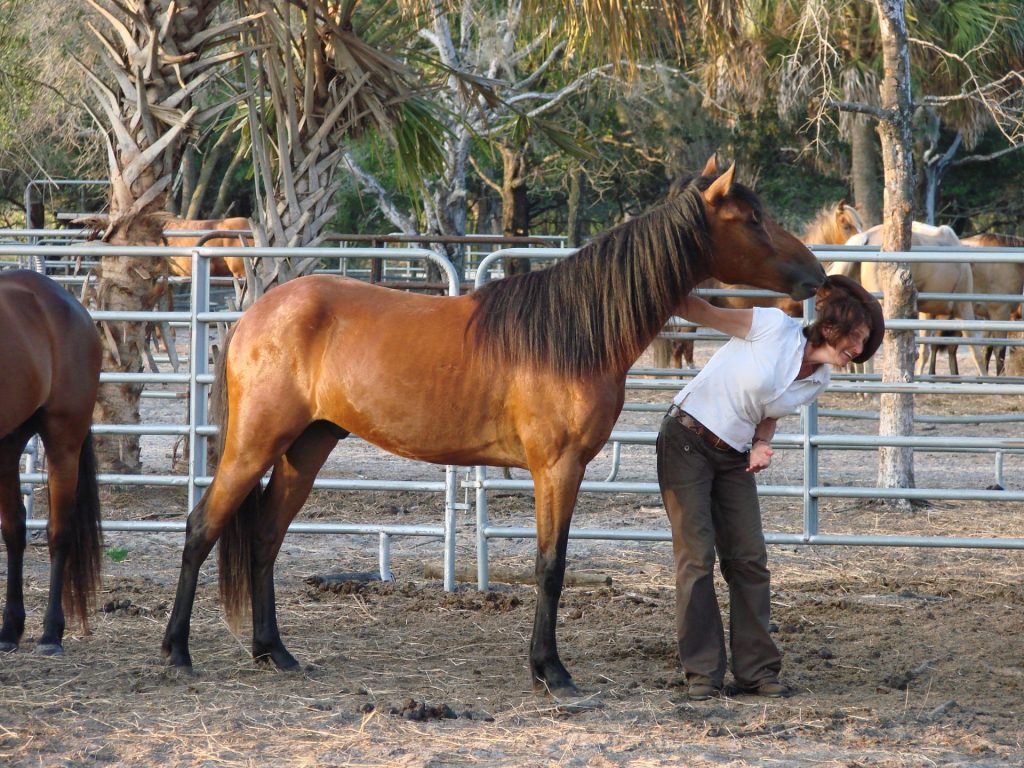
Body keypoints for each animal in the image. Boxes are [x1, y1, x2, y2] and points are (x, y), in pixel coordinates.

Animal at [0, 270, 102, 655]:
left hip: (64, 442)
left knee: (60, 531)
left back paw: (50, 634)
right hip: (8, 442)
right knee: (14, 529)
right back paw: (9, 630)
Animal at [161, 157, 831, 696]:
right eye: (751, 219)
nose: (816, 275)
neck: (572, 334)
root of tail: (255, 316)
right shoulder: (557, 469)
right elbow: (550, 567)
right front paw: (550, 670)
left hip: (306, 448)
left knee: (265, 539)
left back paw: (274, 652)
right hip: (253, 446)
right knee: (201, 529)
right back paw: (176, 652)